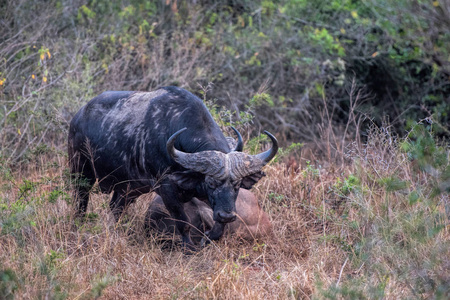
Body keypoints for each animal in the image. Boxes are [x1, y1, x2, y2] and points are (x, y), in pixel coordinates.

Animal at [68, 86, 278, 251]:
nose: (227, 215)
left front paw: (207, 239)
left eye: (237, 185)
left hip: (129, 188)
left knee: (116, 207)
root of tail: (78, 116)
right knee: (81, 201)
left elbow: (218, 229)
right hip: (81, 171)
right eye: (210, 182)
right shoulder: (167, 189)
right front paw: (188, 248)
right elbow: (183, 222)